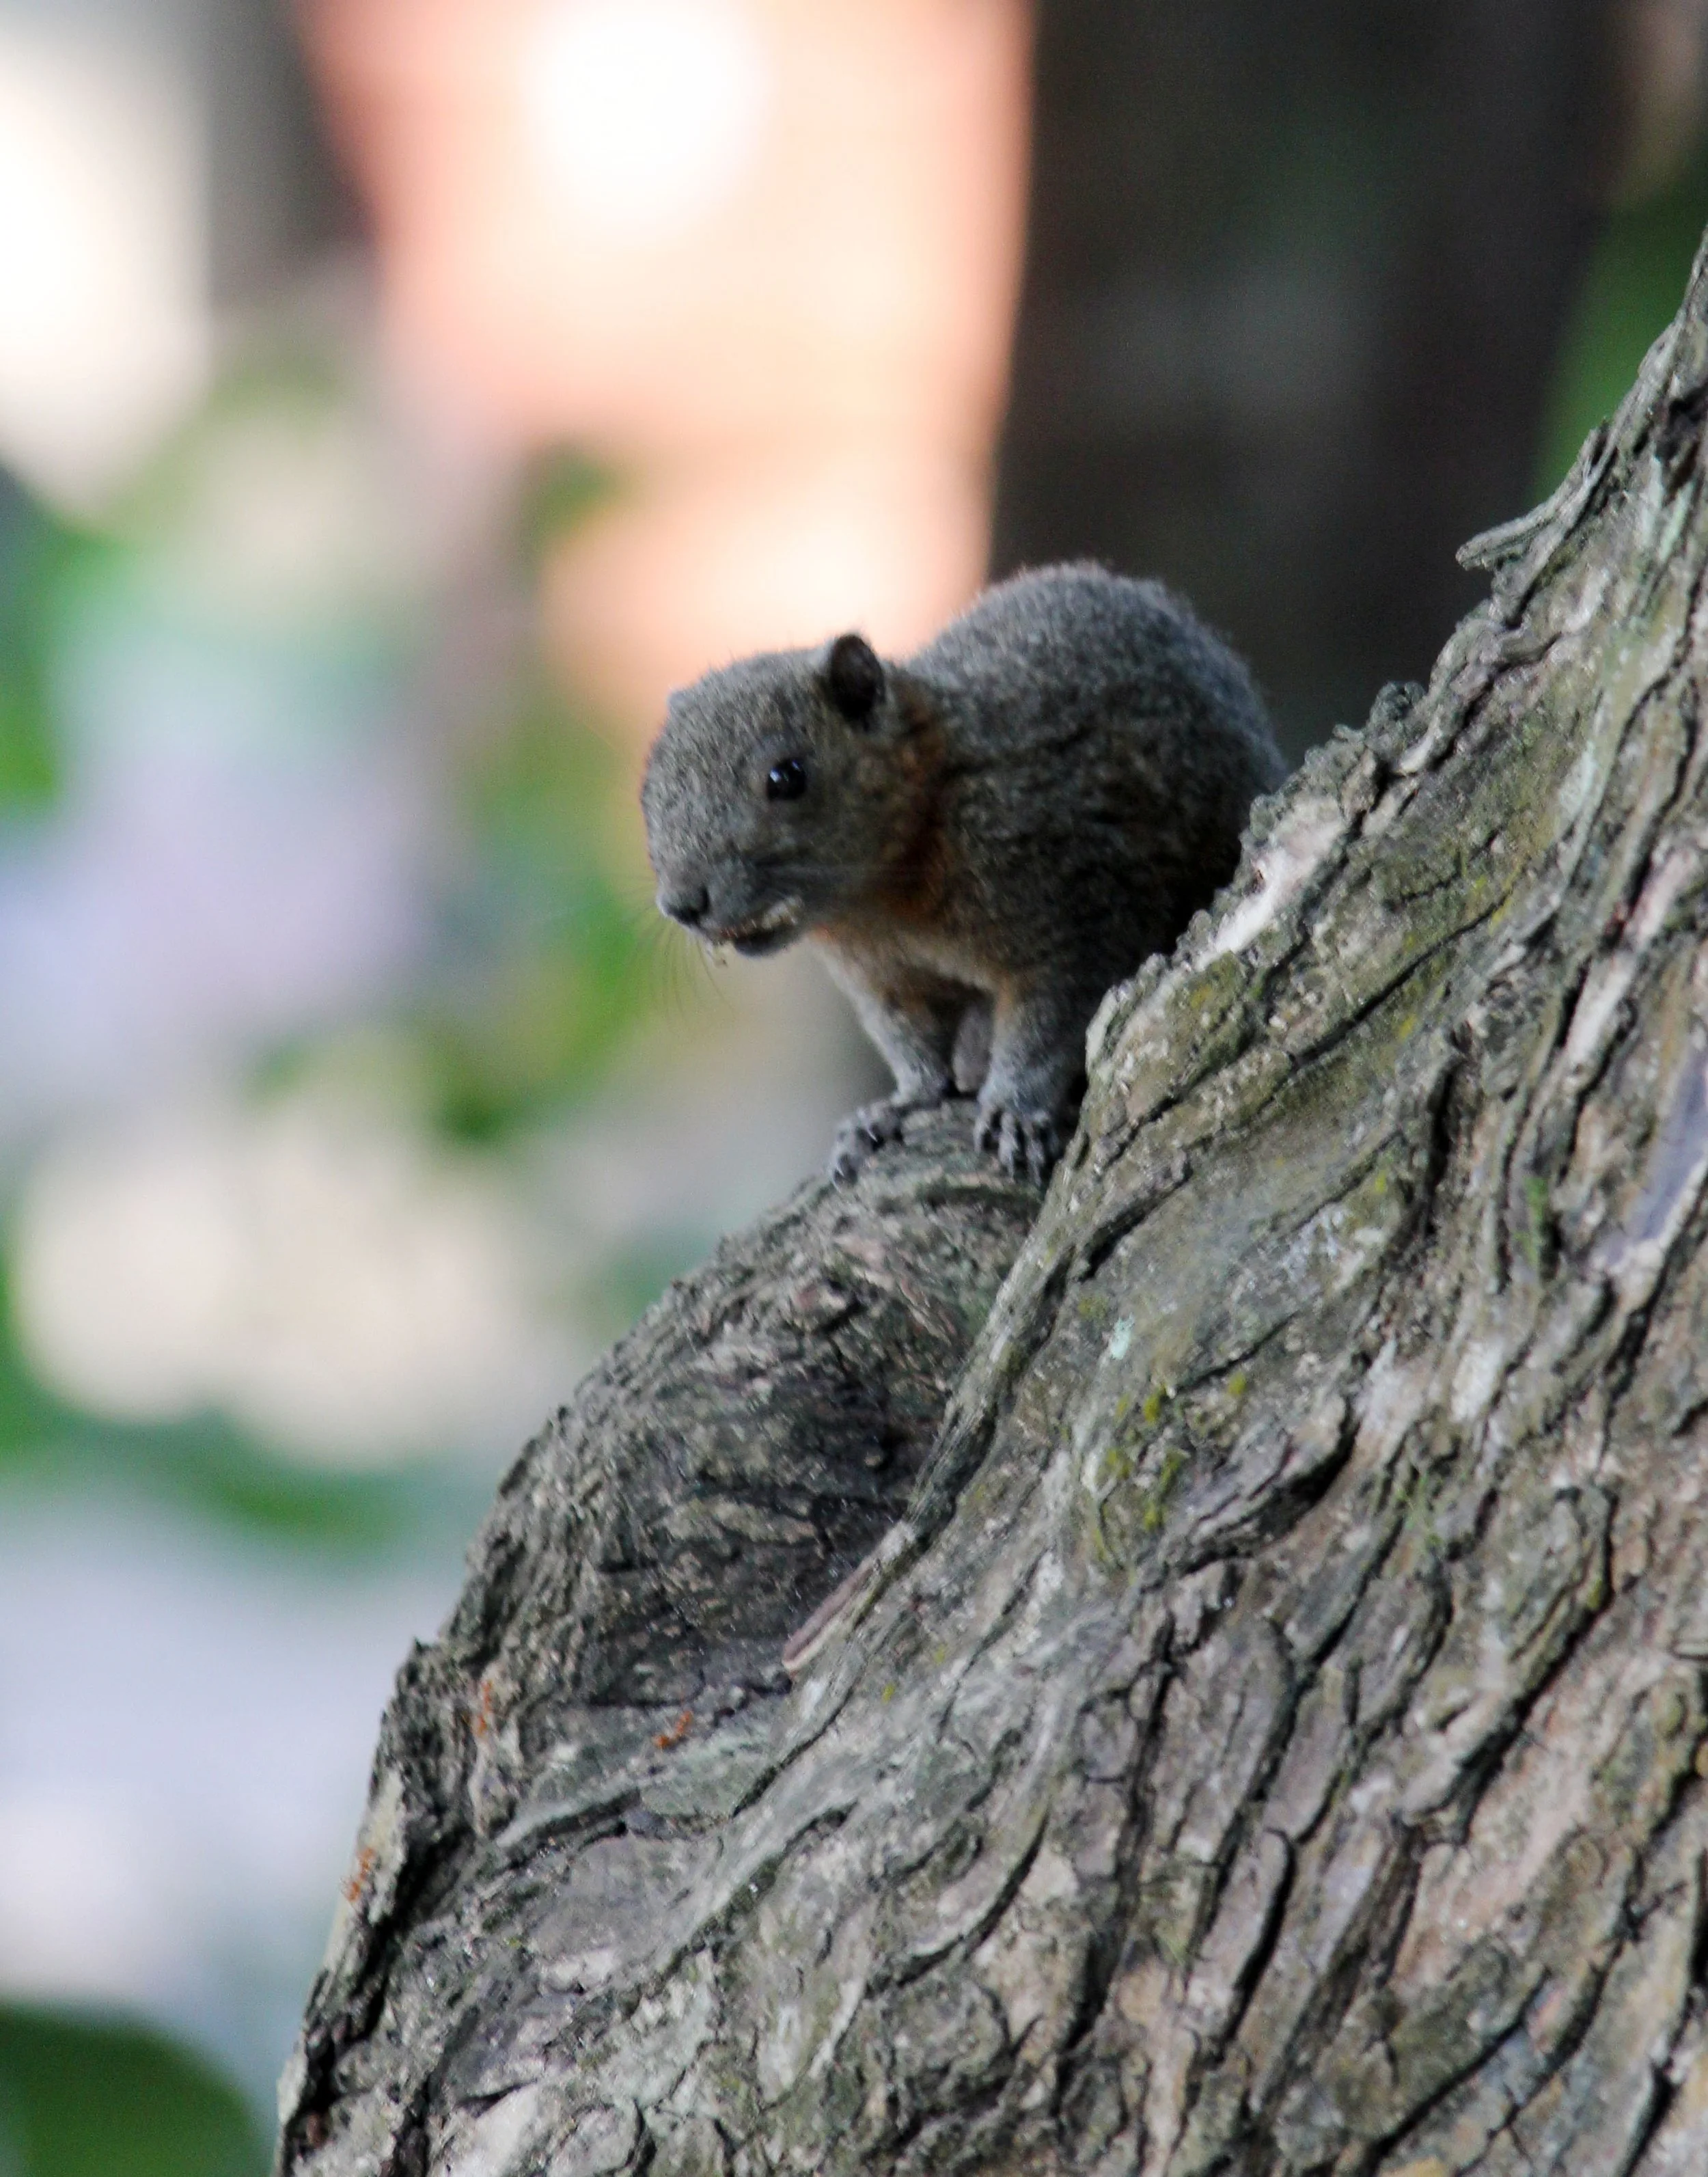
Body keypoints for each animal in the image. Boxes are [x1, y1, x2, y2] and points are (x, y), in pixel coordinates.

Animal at [641, 562, 1285, 1185]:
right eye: (647, 795)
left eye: (787, 776)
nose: (683, 903)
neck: (878, 900)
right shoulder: (882, 978)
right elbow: (914, 1047)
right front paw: (898, 1106)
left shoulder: (1071, 902)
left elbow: (1049, 1021)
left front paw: (1015, 1109)